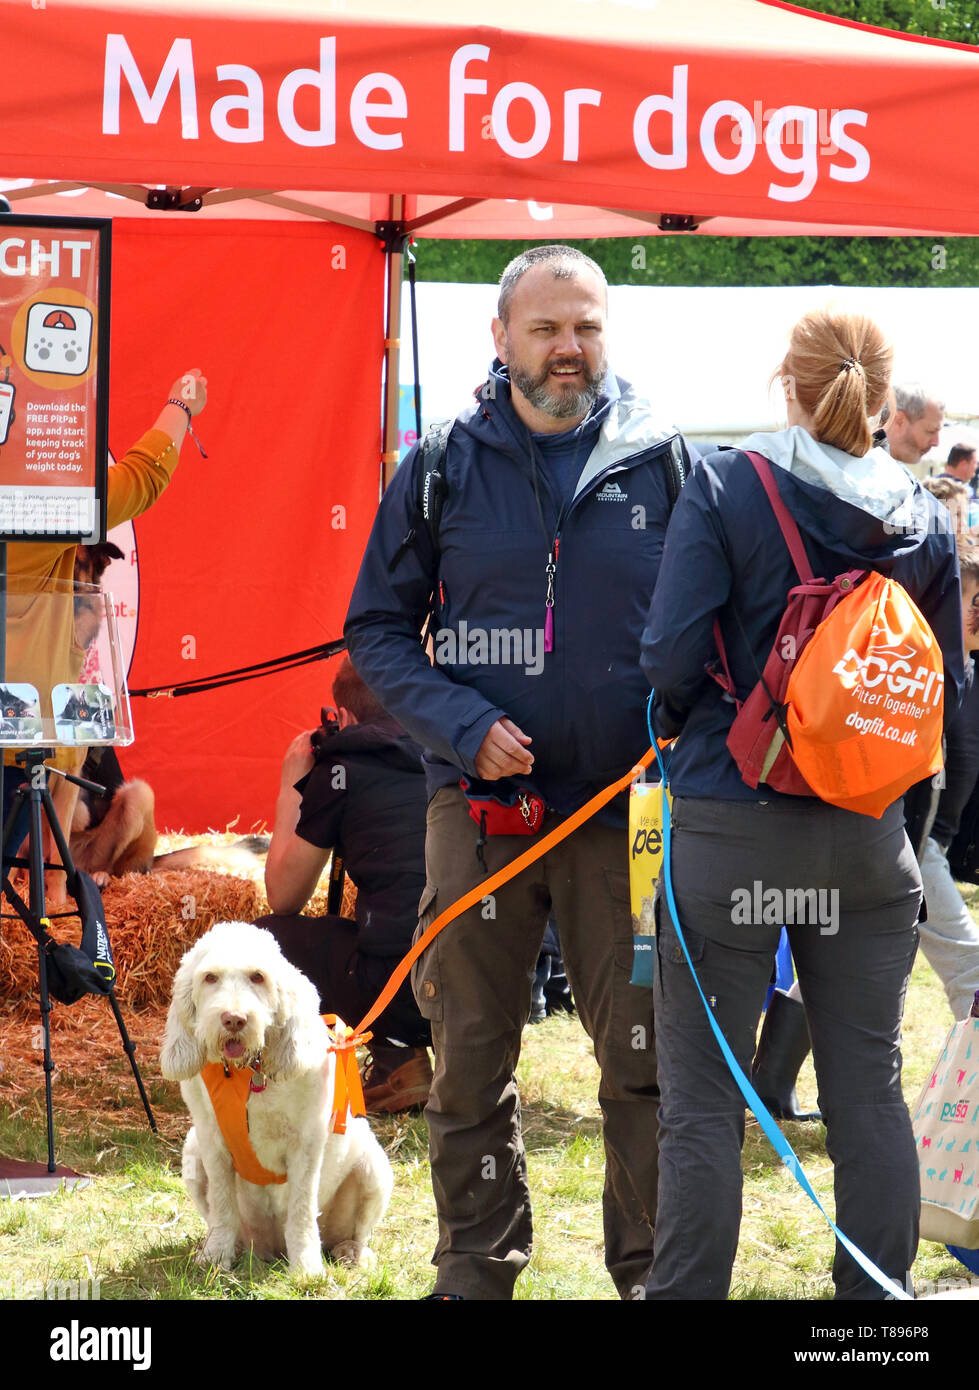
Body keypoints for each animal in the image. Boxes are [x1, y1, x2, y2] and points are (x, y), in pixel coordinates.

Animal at [161, 922, 394, 1278]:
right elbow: (223, 1206)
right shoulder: (211, 1142)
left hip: (374, 1166)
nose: (234, 1020)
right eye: (210, 977)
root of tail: (270, 1249)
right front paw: (215, 1257)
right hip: (192, 1153)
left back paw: (352, 1251)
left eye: (258, 976)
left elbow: (302, 1212)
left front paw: (307, 1268)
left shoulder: (307, 1145)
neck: (248, 1074)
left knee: (352, 1232)